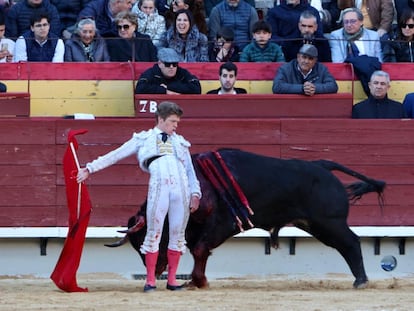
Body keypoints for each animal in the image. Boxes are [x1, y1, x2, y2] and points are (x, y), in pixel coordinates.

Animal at [106, 149, 384, 290]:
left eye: (146, 236)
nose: (155, 270)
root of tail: (322, 165)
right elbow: (198, 251)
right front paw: (195, 281)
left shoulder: (220, 225)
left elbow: (199, 250)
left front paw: (199, 281)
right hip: (316, 224)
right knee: (345, 245)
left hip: (329, 222)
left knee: (351, 243)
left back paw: (361, 281)